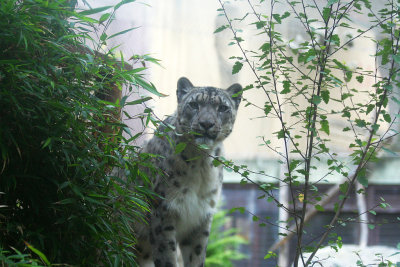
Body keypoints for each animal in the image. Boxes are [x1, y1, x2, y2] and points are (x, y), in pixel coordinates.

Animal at [136, 76, 242, 266]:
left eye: (223, 108)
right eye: (194, 104)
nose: (206, 124)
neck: (201, 165)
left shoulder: (201, 219)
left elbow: (197, 257)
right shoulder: (162, 213)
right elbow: (167, 258)